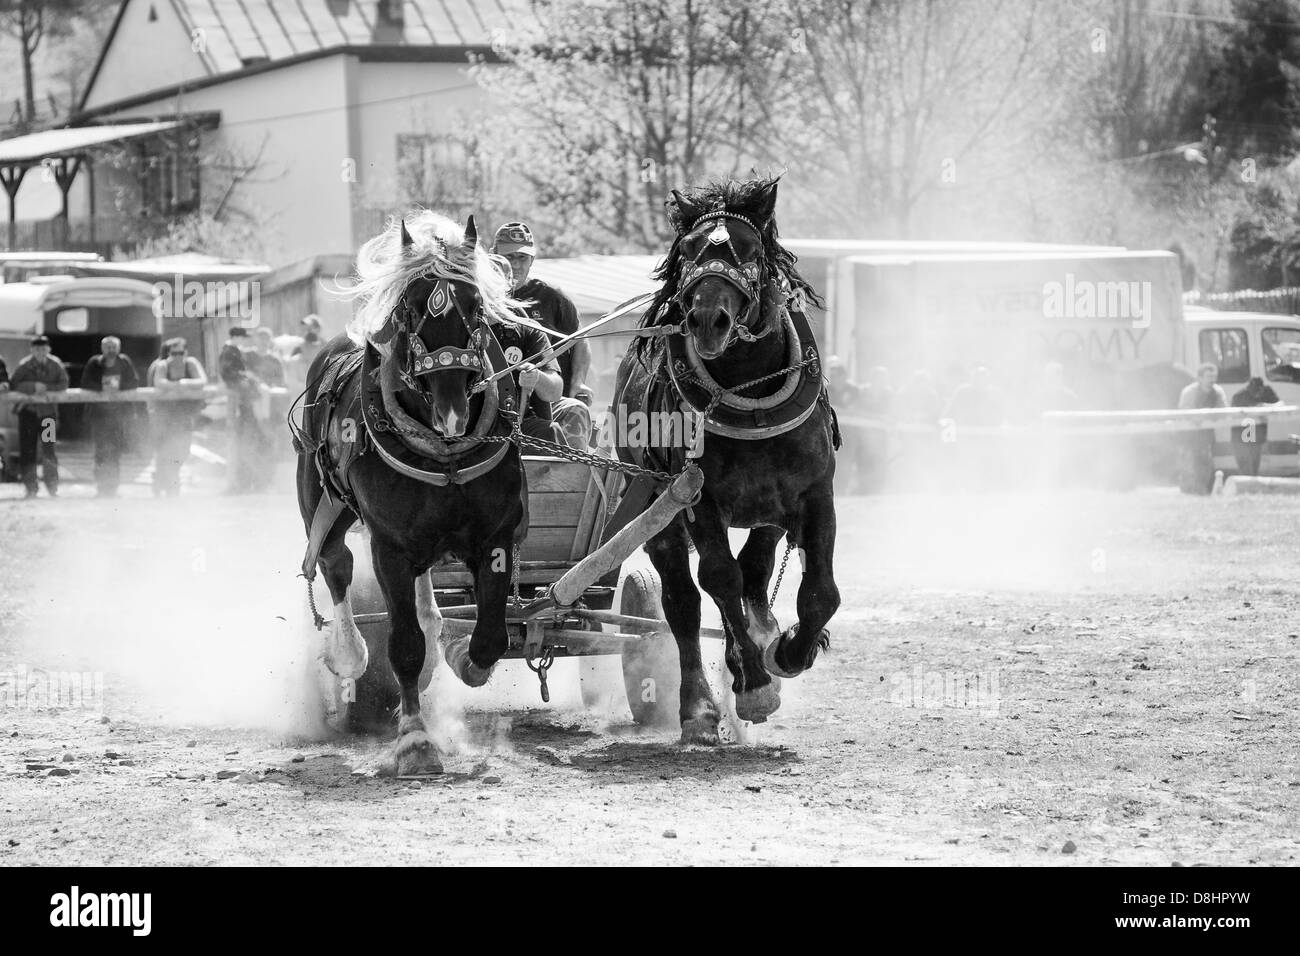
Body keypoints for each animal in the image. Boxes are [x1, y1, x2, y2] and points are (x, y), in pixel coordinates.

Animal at [297, 210, 527, 780]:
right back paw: (348, 653)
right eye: (409, 308)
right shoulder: (391, 547)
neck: (444, 453)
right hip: (321, 505)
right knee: (333, 565)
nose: (450, 405)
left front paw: (465, 658)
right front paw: (415, 740)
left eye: (475, 305)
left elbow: (492, 636)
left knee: (427, 604)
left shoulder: (496, 536)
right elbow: (403, 645)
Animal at [611, 179, 837, 749]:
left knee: (754, 570)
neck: (747, 394)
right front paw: (753, 683)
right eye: (689, 250)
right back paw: (700, 705)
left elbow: (821, 593)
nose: (706, 318)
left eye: (750, 250)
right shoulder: (696, 498)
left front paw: (786, 652)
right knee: (685, 602)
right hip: (658, 517)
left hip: (767, 513)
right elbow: (718, 579)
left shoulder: (815, 494)